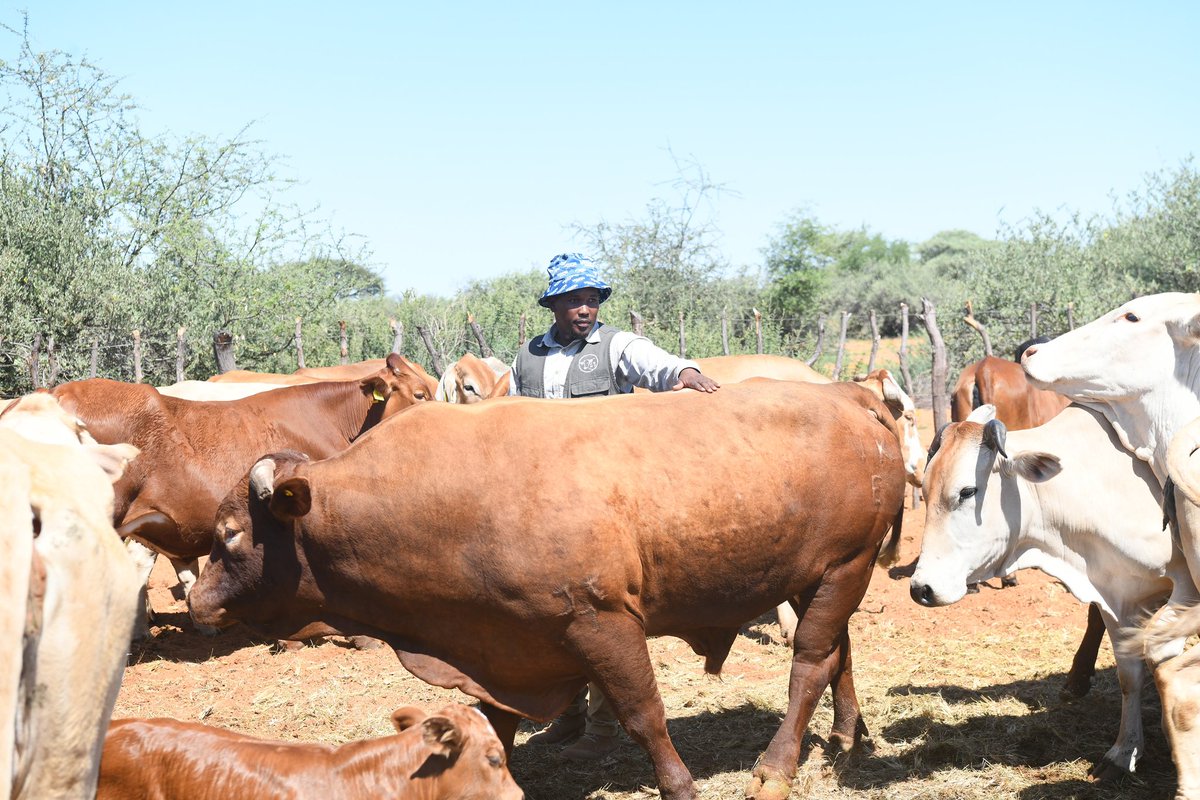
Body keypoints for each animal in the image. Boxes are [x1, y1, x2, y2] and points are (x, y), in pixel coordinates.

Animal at [189, 380, 906, 800]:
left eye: (229, 534)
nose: (196, 602)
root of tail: (848, 395)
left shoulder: (601, 622)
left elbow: (644, 715)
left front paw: (678, 786)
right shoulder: (496, 645)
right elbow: (492, 726)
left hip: (845, 567)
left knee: (809, 663)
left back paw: (776, 767)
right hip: (823, 578)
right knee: (839, 656)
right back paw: (847, 735)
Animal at [910, 403, 1197, 777]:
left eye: (967, 491)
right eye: (924, 490)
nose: (921, 588)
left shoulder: (1185, 588)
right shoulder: (1117, 598)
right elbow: (1129, 675)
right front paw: (1125, 751)